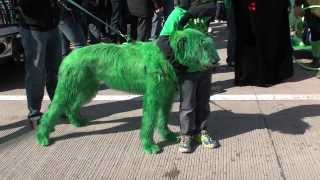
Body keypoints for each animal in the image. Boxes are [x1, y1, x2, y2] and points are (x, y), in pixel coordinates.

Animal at [35, 28, 220, 153]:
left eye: (208, 44)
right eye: (201, 46)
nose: (216, 61)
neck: (167, 56)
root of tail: (68, 57)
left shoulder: (166, 96)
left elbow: (163, 118)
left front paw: (167, 135)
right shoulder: (152, 97)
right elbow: (149, 120)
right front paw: (149, 145)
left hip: (88, 88)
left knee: (72, 106)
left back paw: (76, 121)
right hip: (68, 88)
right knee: (53, 109)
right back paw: (43, 135)